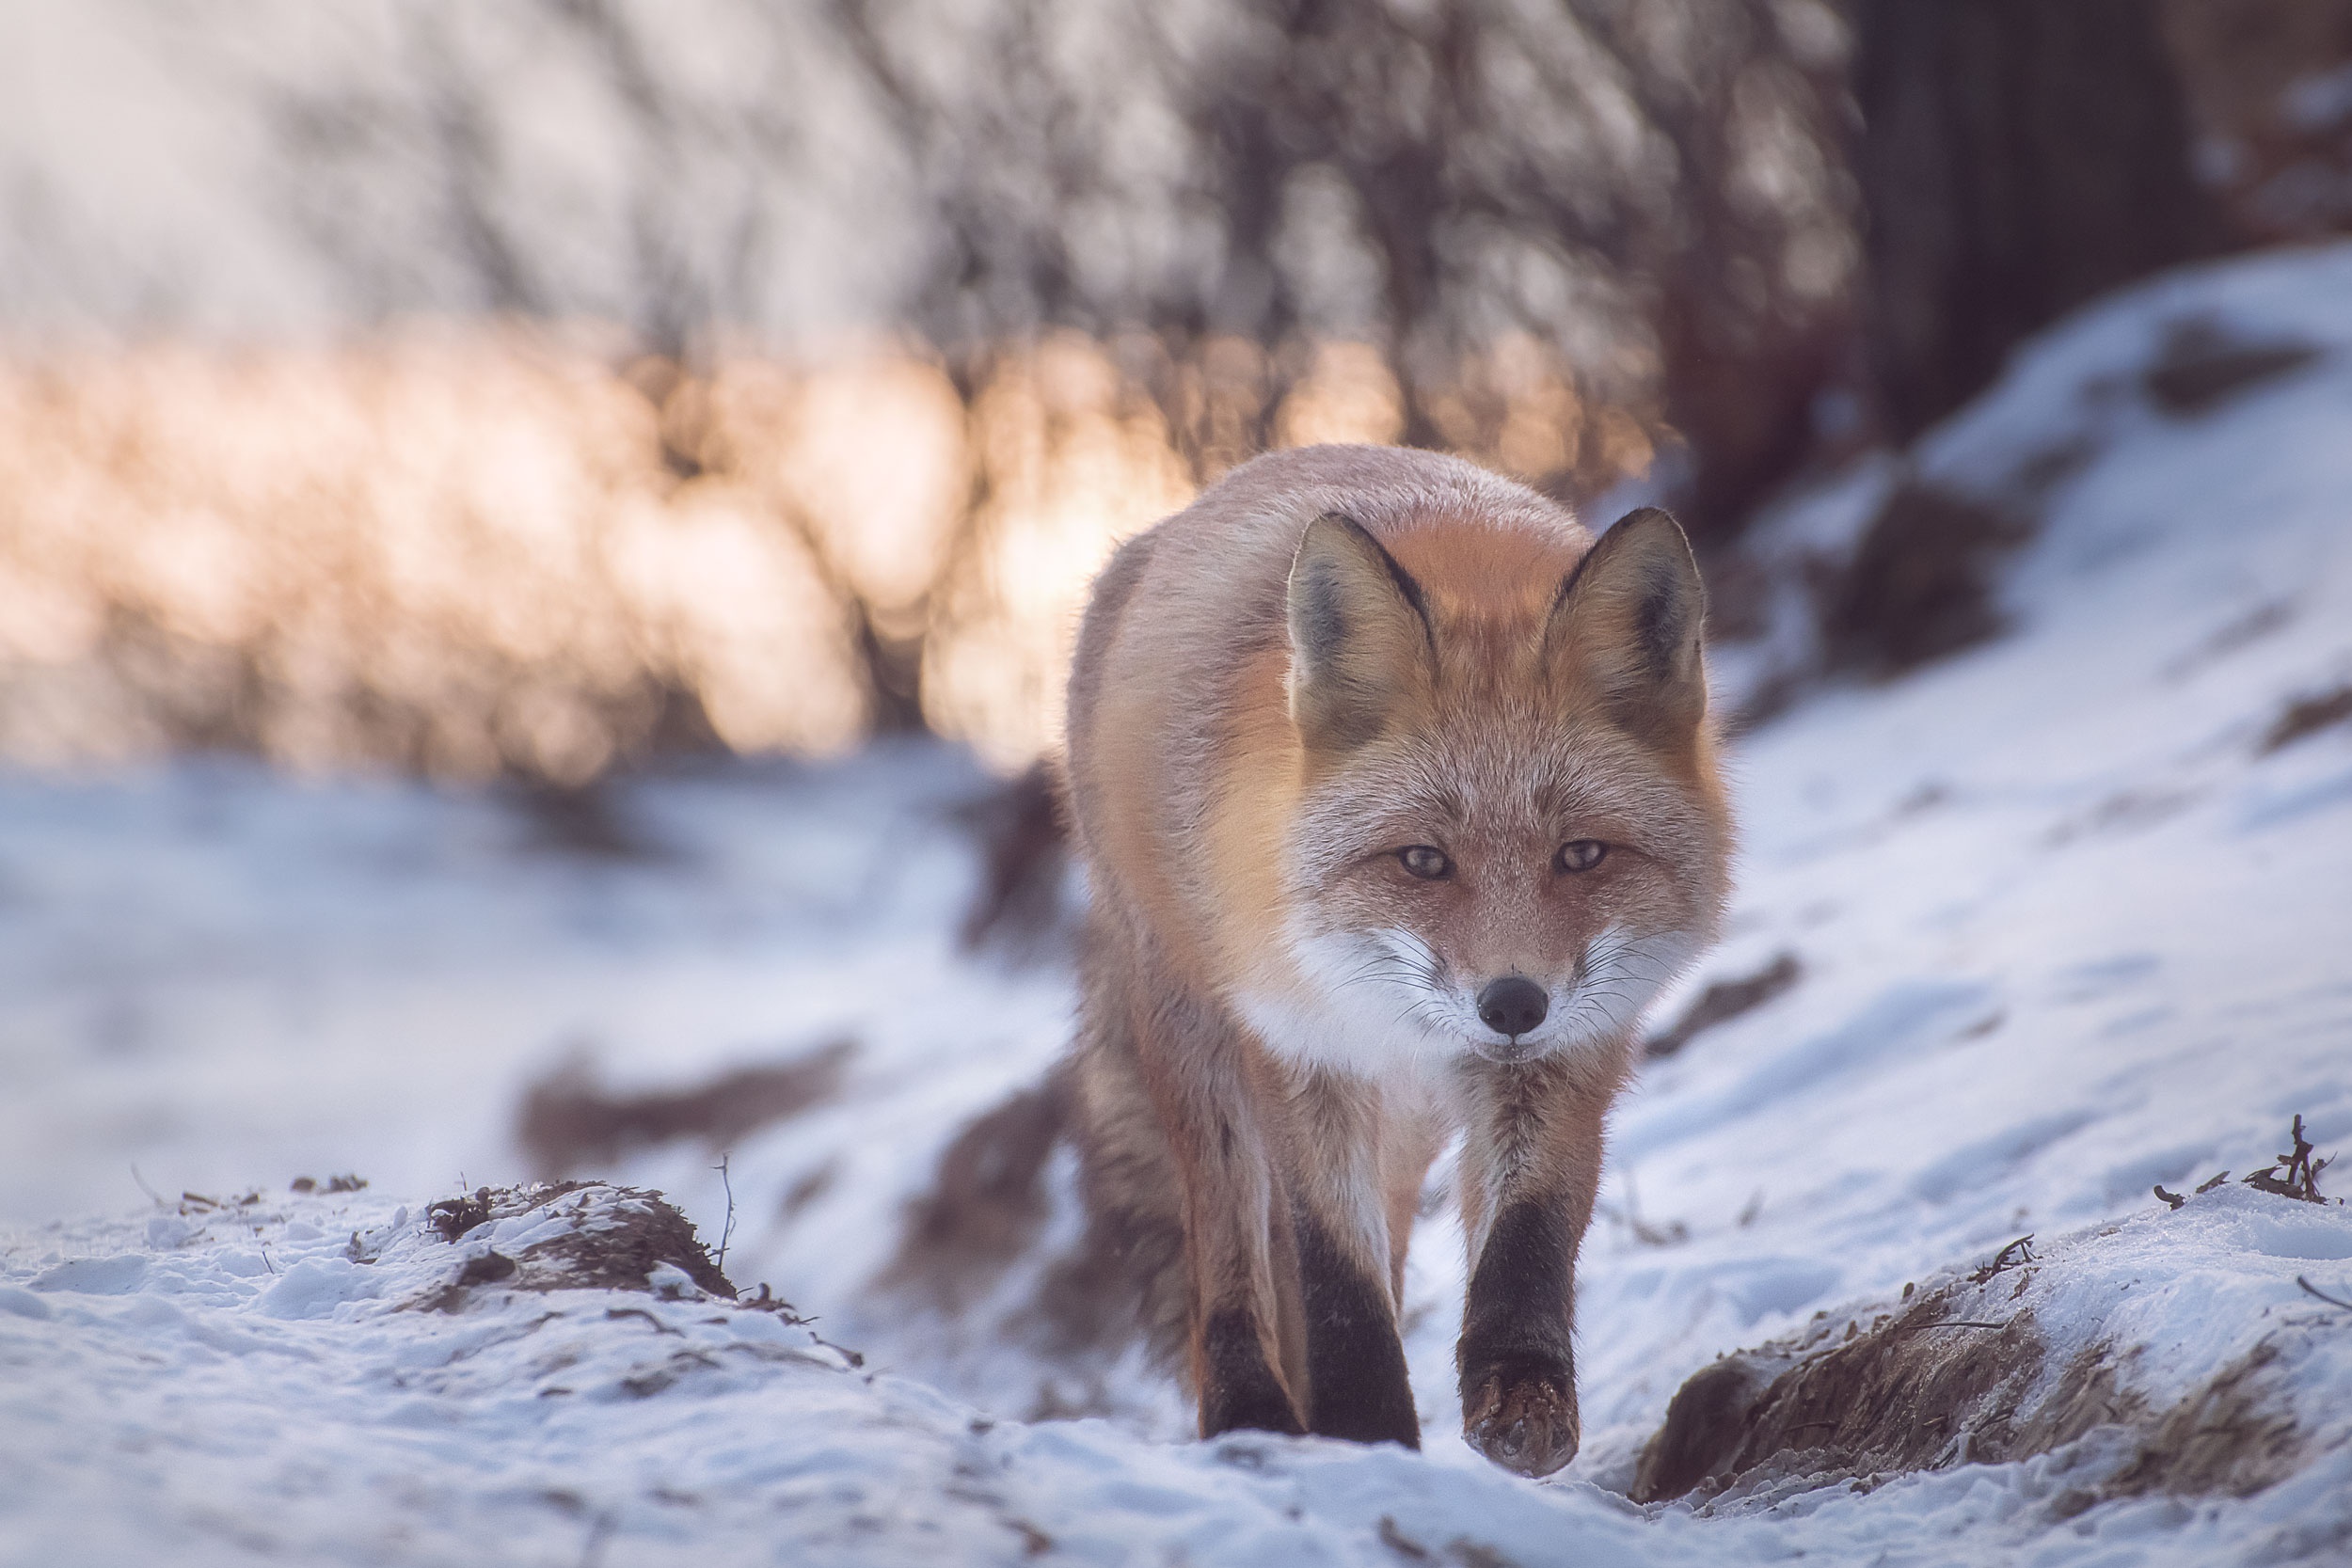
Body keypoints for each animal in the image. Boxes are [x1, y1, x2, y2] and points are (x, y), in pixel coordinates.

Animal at [1063, 444, 1731, 1485]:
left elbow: (1529, 1236)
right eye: (1422, 860)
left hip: (1409, 1121)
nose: (1511, 1003)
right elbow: (1335, 1277)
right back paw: (1252, 1413)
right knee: (1233, 1260)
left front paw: (1521, 1399)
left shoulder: (1573, 1048)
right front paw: (1365, 1436)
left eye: (1581, 854)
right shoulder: (1301, 1046)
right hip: (1197, 1049)